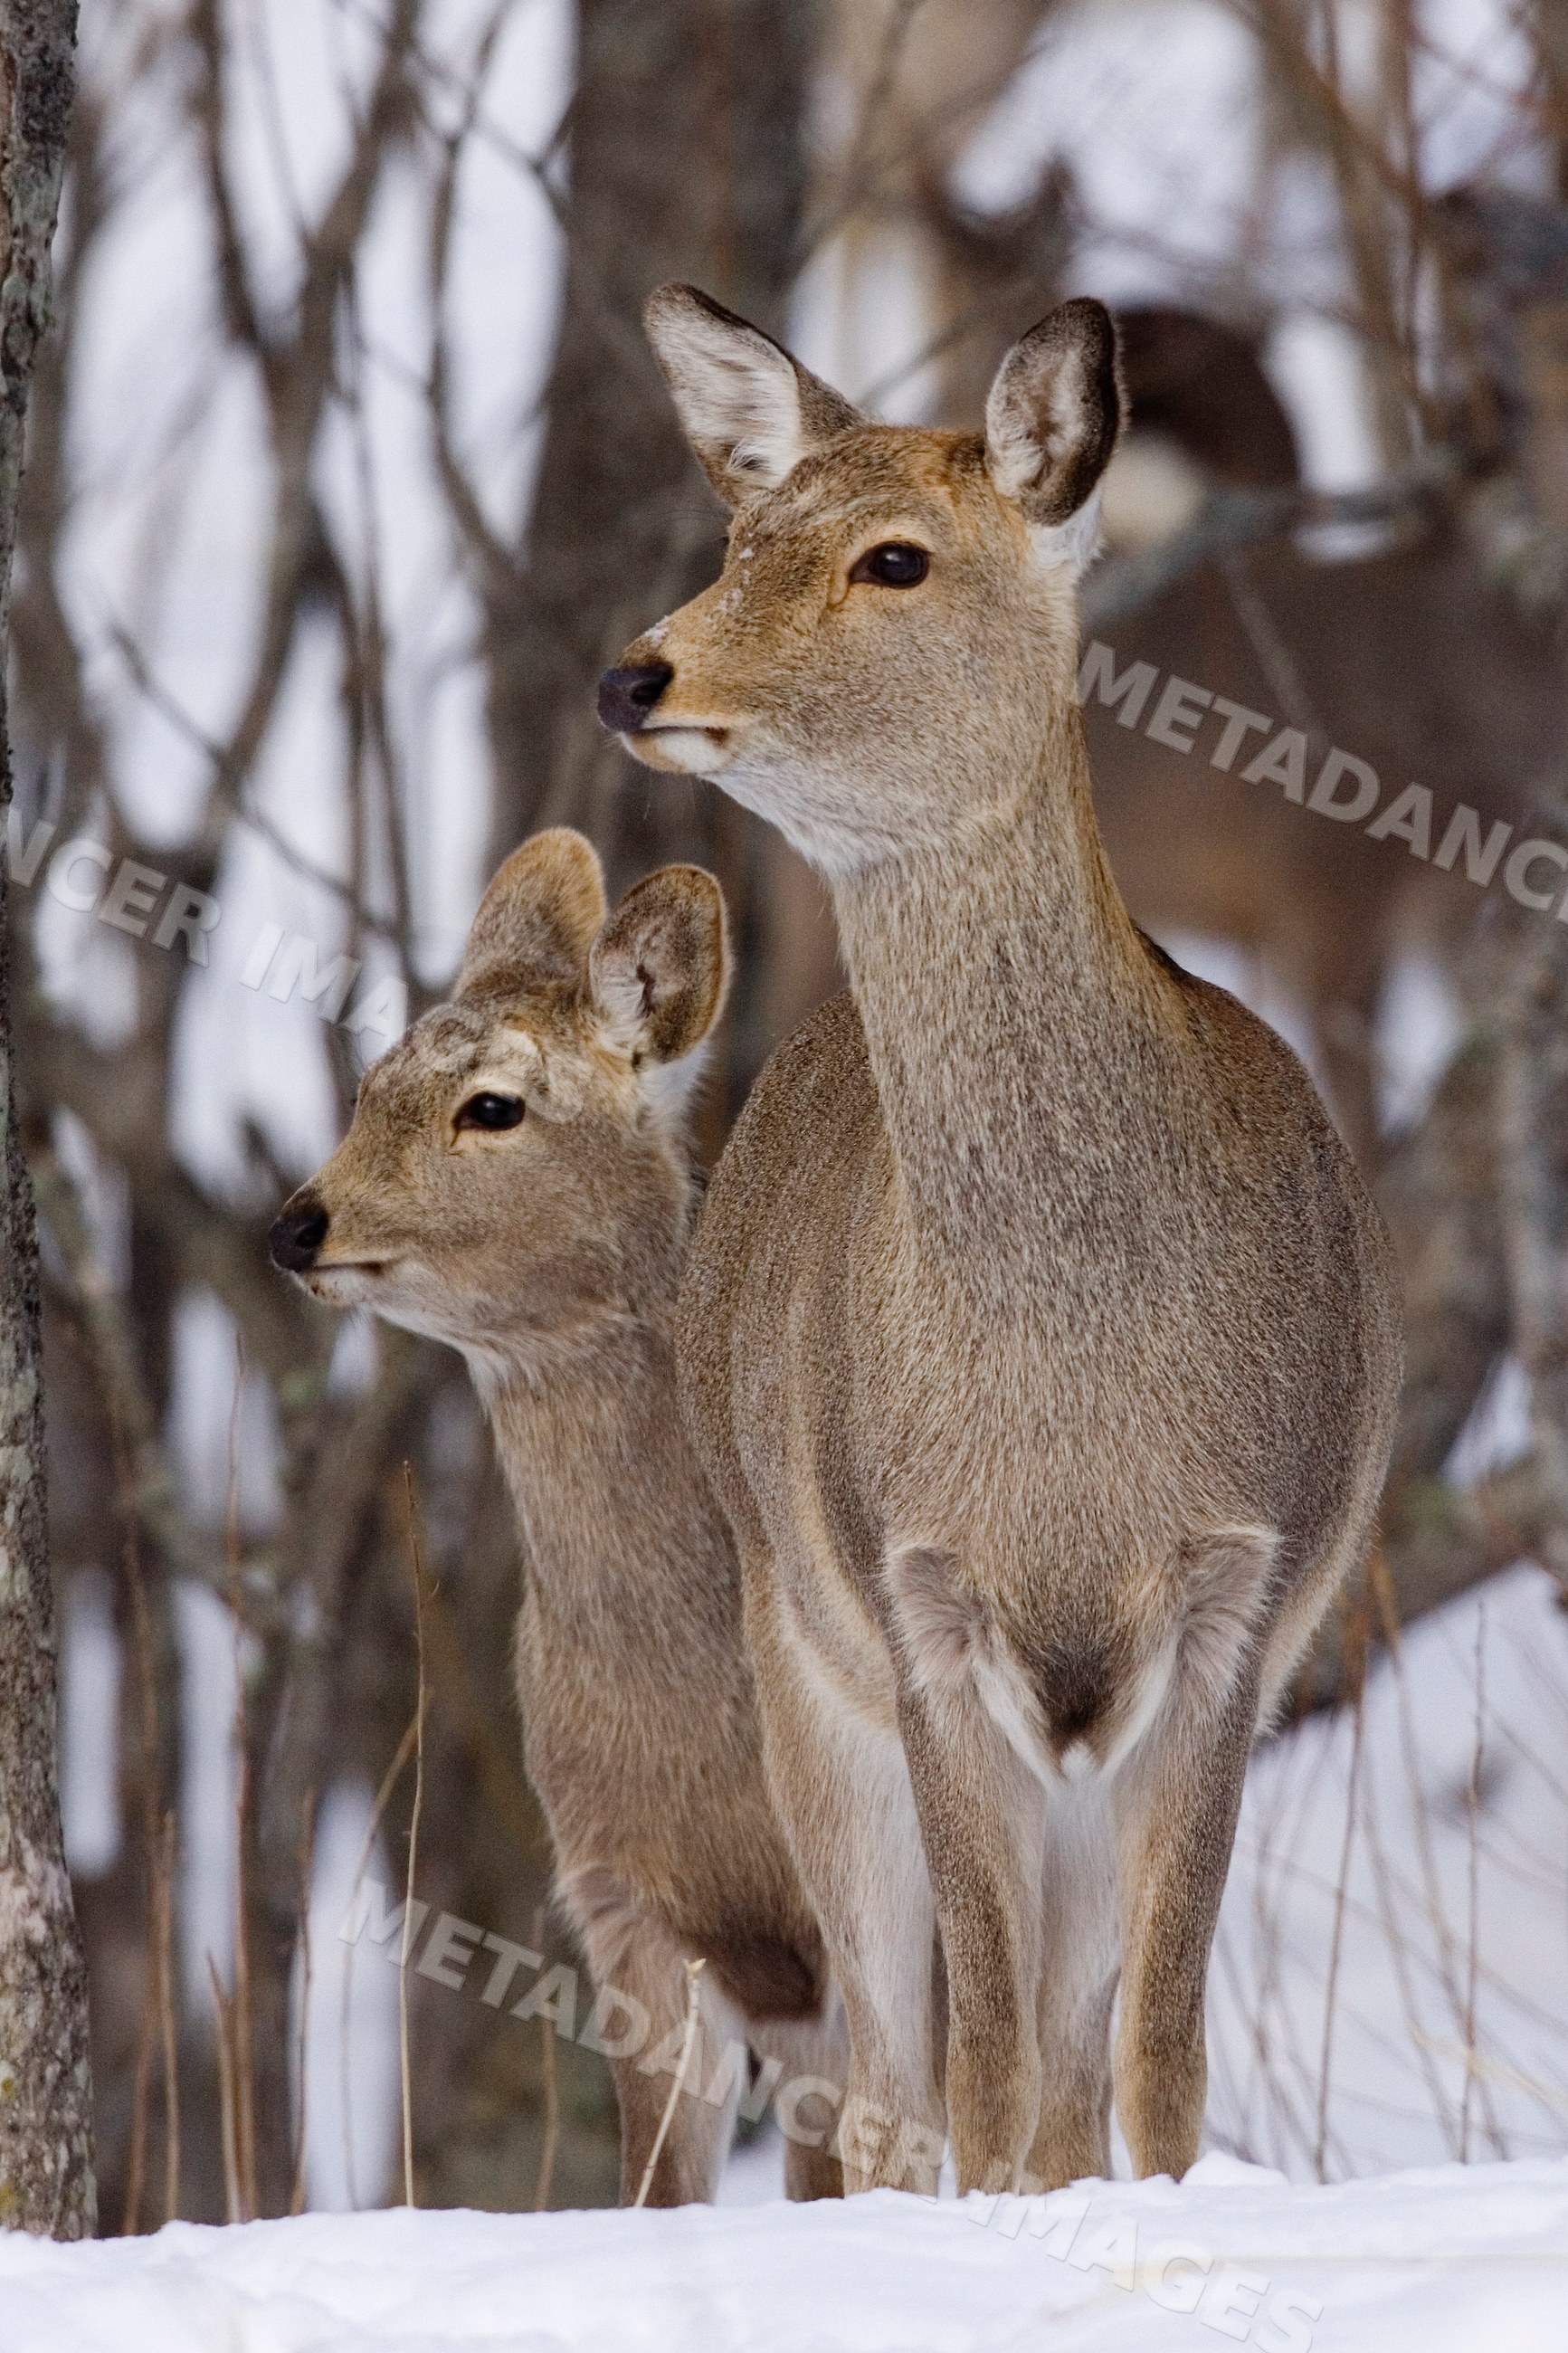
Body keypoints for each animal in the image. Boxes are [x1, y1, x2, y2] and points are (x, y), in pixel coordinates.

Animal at [598, 287, 1405, 2197]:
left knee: (1041, 2066)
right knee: (886, 2080)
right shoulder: (913, 1598)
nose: (635, 674)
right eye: (739, 538)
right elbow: (961, 2073)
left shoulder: (1239, 1596)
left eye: (894, 555)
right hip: (796, 1669)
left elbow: (1148, 2064)